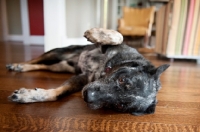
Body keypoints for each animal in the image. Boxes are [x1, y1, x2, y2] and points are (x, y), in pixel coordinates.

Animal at [6, 27, 169, 115]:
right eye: (122, 79)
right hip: (56, 53)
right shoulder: (111, 48)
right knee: (35, 60)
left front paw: (30, 96)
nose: (87, 95)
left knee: (43, 66)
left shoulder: (81, 80)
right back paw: (18, 65)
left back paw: (22, 67)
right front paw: (95, 33)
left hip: (60, 67)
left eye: (119, 106)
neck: (103, 70)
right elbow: (118, 36)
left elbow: (57, 93)